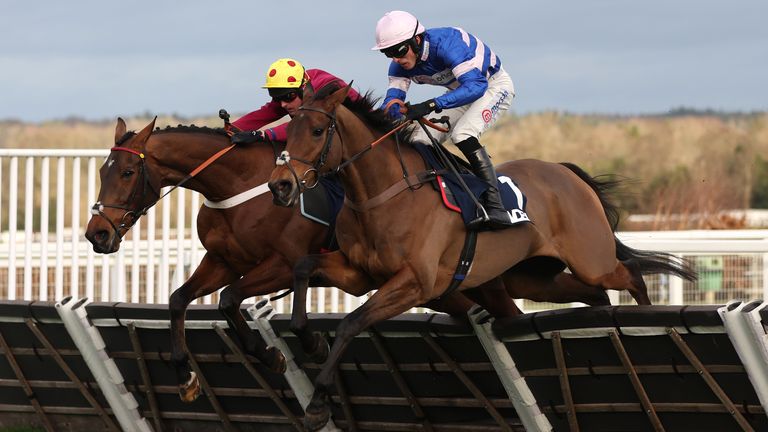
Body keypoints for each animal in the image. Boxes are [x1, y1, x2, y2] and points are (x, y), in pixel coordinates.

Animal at [268, 86, 692, 430]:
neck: (383, 194)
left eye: (317, 131)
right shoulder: (359, 274)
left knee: (630, 273)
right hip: (533, 276)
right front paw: (310, 343)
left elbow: (350, 323)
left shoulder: (415, 284)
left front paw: (317, 404)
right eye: (288, 130)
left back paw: (649, 319)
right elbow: (304, 268)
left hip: (592, 259)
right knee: (593, 294)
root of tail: (566, 173)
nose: (280, 186)